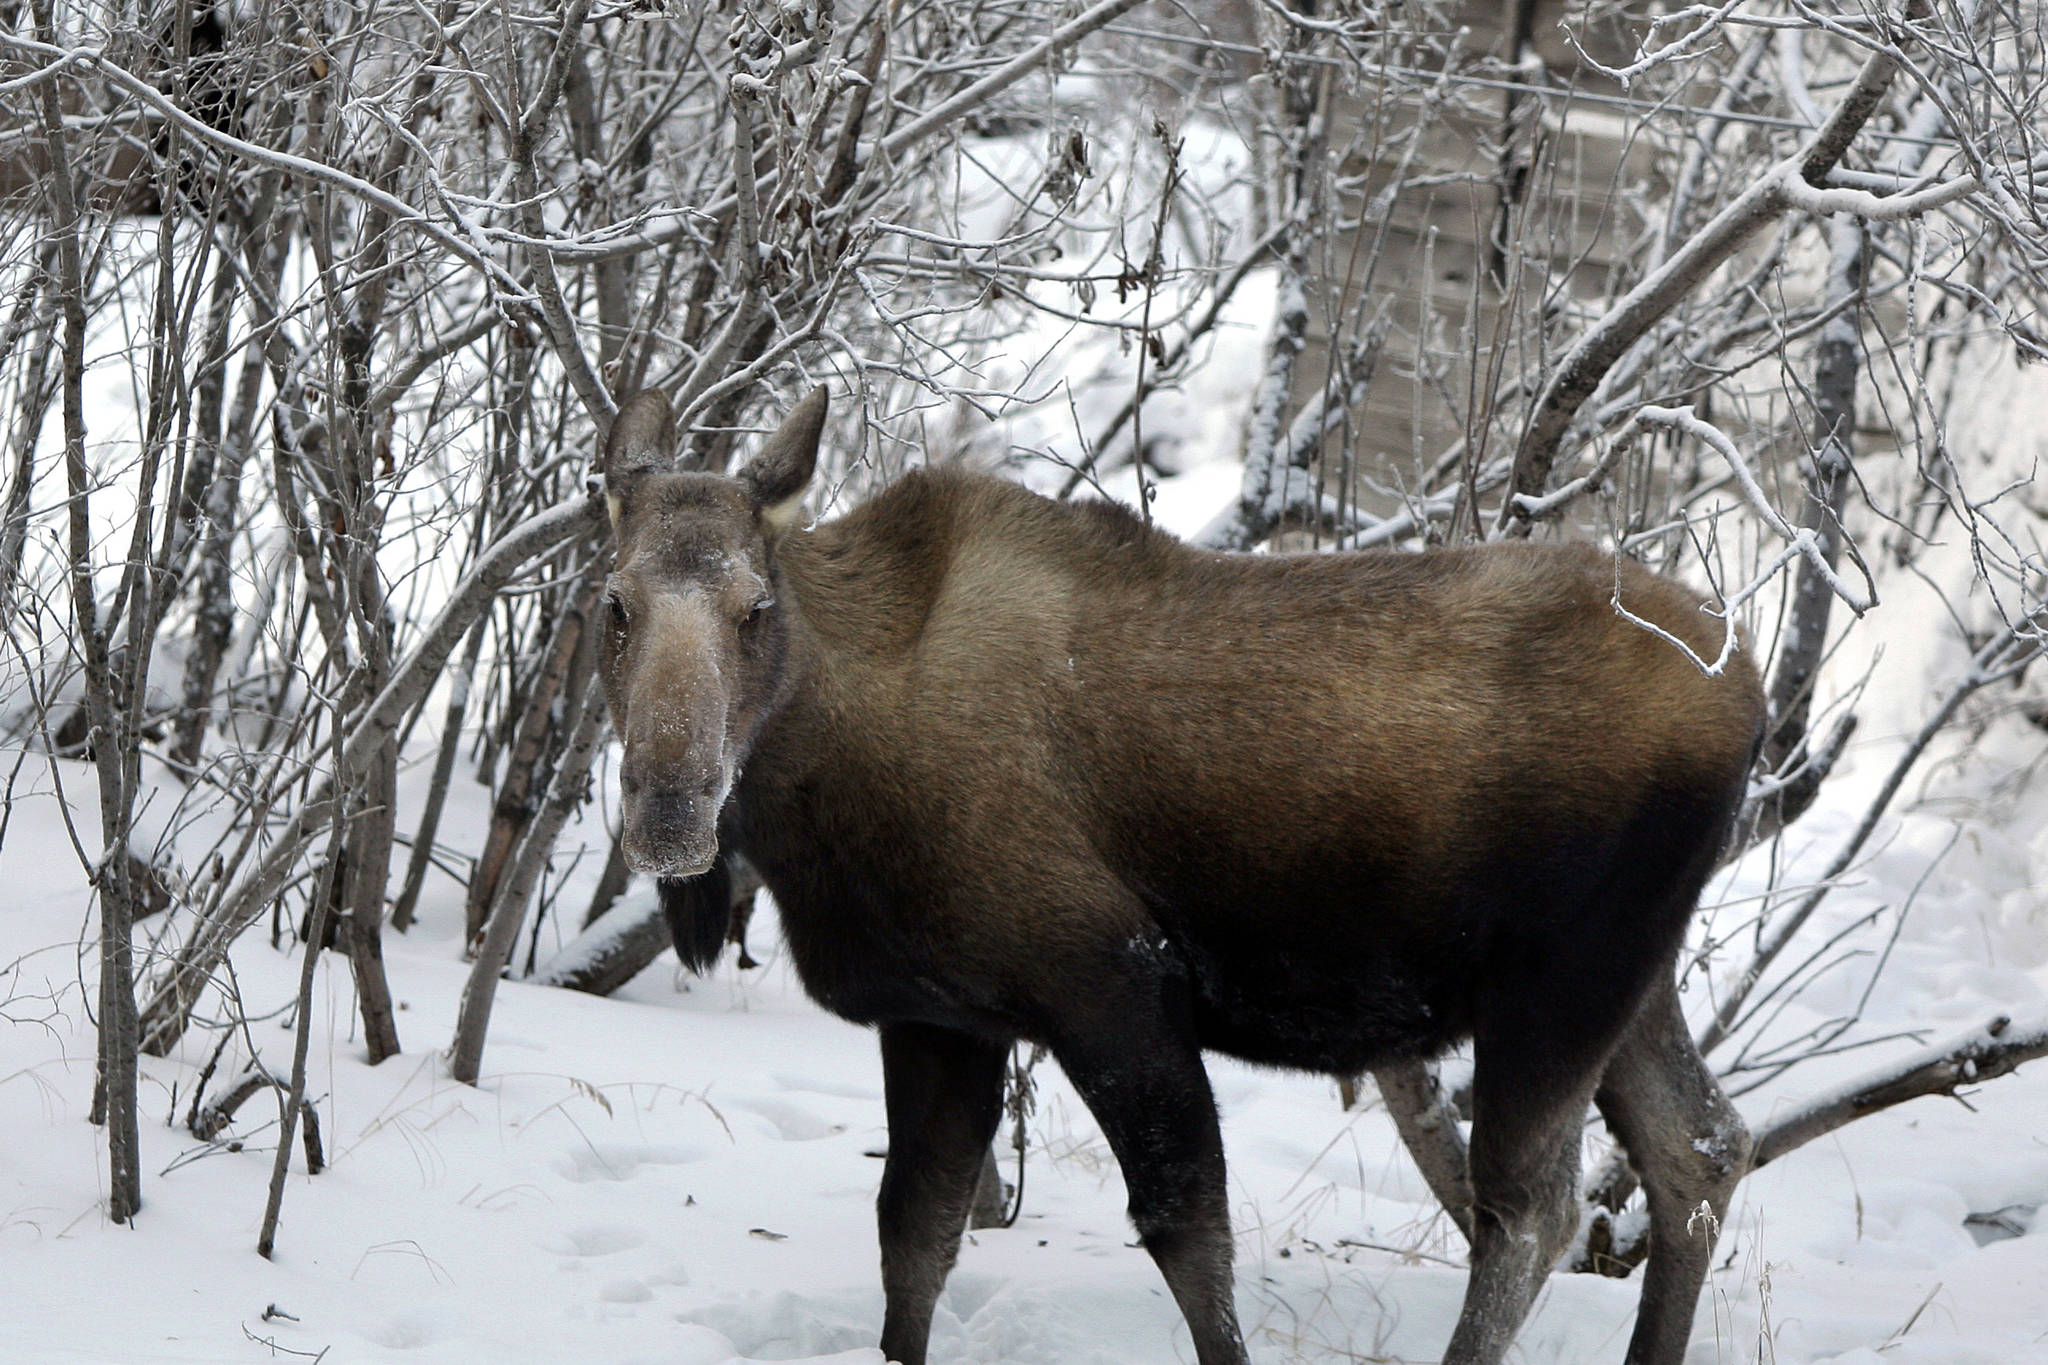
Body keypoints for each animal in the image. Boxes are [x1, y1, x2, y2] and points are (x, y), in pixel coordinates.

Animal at [598, 384, 1769, 1365]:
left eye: (755, 607)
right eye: (614, 603)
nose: (669, 810)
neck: (824, 784)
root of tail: (1753, 693)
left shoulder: (1112, 980)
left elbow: (1185, 1230)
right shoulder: (941, 1017)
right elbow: (914, 1235)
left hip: (1559, 987)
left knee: (1532, 1212)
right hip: (1632, 978)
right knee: (1700, 1146)